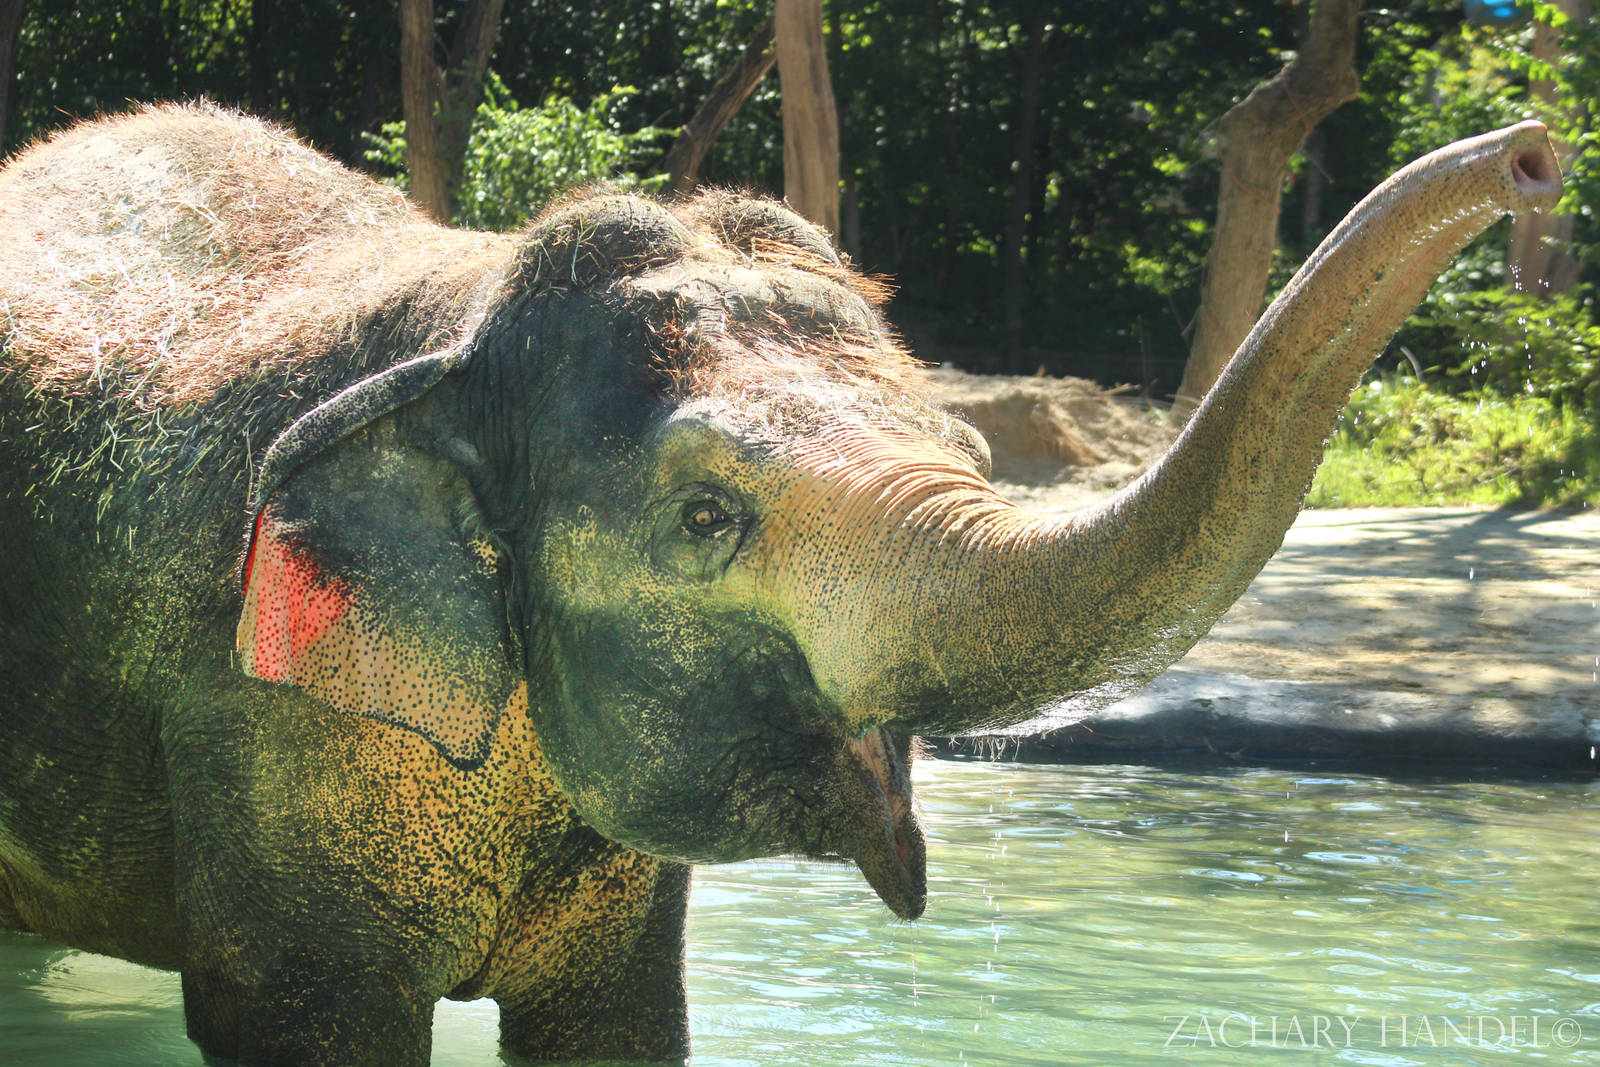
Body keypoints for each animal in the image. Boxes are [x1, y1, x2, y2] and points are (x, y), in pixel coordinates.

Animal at [0, 102, 1561, 1064]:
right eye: (706, 516)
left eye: (963, 450)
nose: (1537, 159)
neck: (463, 310)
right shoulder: (254, 713)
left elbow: (618, 1024)